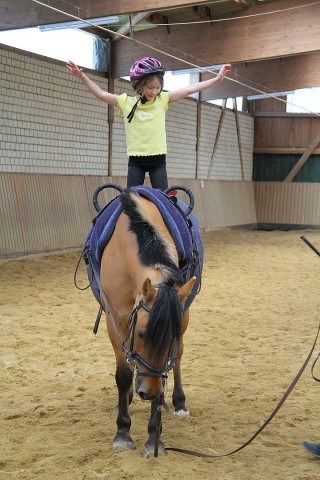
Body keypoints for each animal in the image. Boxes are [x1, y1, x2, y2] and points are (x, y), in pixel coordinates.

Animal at [83, 185, 202, 458]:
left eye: (169, 339)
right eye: (141, 334)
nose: (149, 392)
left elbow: (169, 364)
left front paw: (153, 439)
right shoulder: (116, 319)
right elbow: (124, 374)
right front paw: (123, 433)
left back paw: (177, 402)